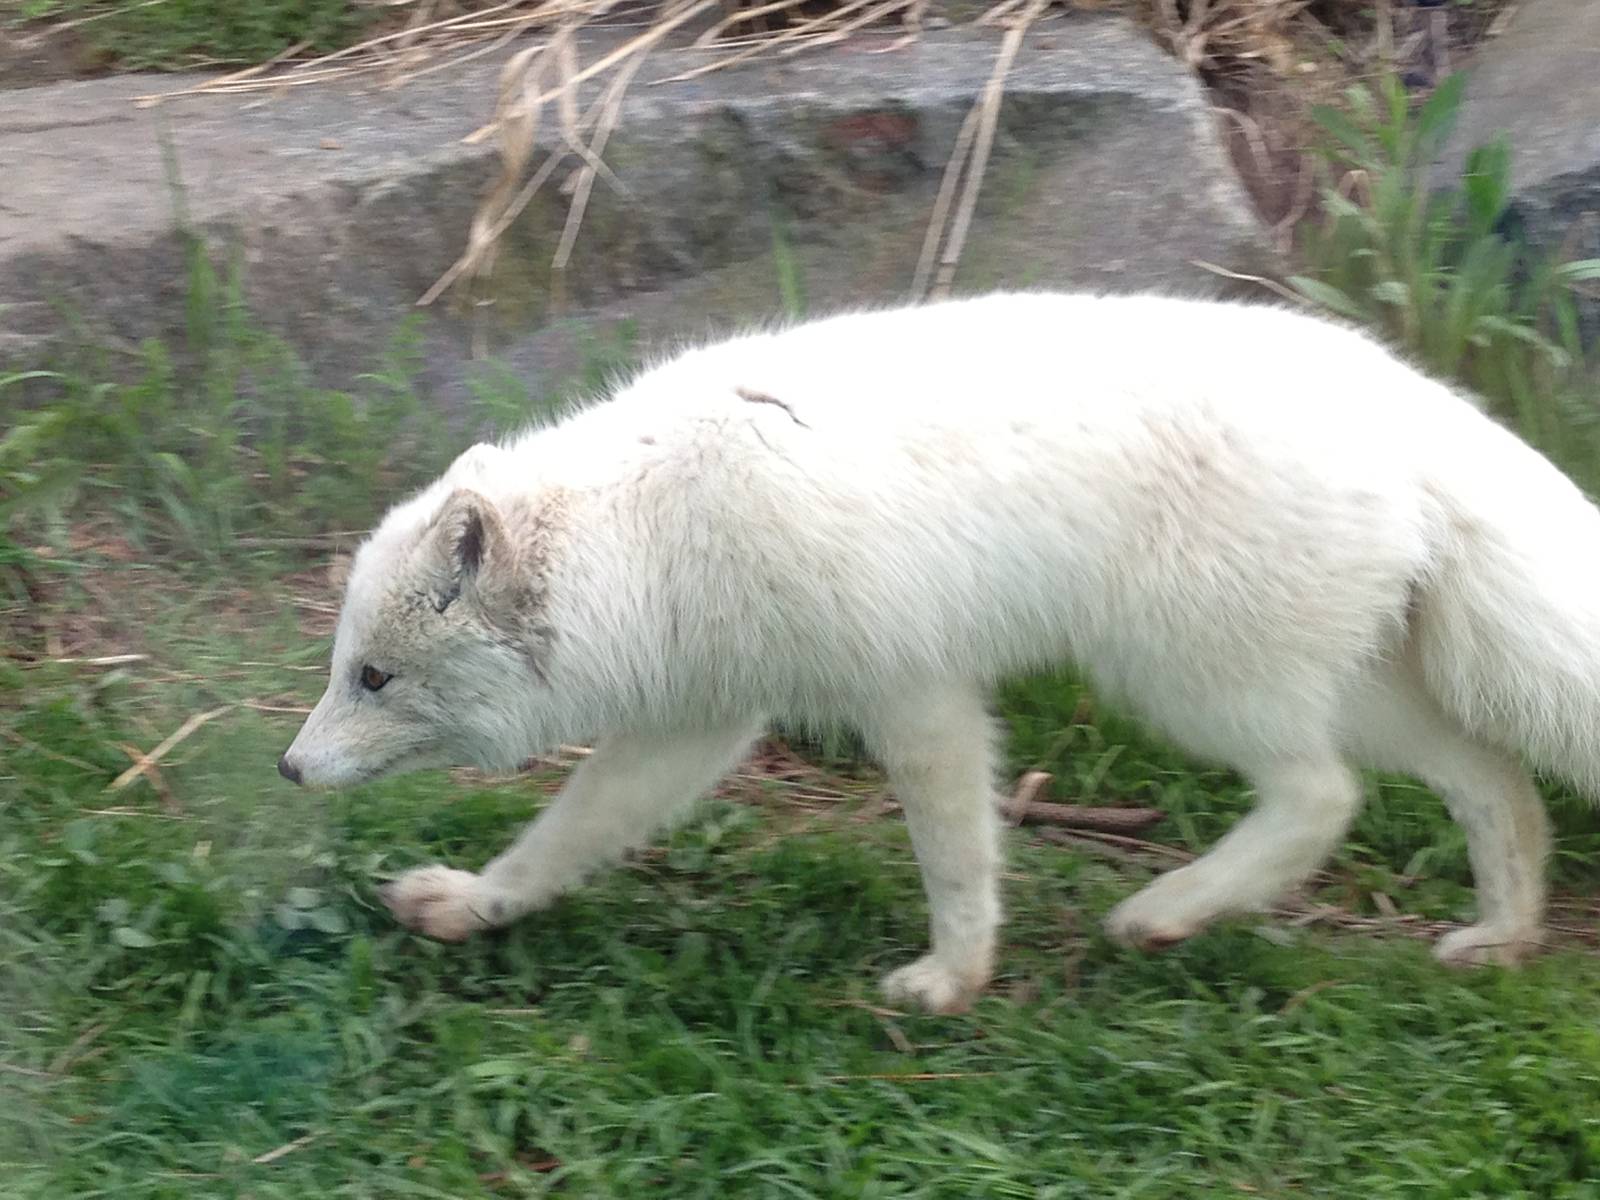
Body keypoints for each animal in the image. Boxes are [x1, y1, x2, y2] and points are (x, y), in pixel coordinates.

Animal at [279, 291, 1600, 1014]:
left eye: (375, 677)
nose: (289, 771)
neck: (656, 527)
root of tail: (1402, 397)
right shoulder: (697, 720)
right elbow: (565, 835)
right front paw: (475, 904)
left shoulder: (914, 698)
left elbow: (958, 861)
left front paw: (949, 980)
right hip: (1348, 687)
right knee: (1494, 784)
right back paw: (1500, 937)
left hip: (1190, 684)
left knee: (1324, 799)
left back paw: (1162, 913)